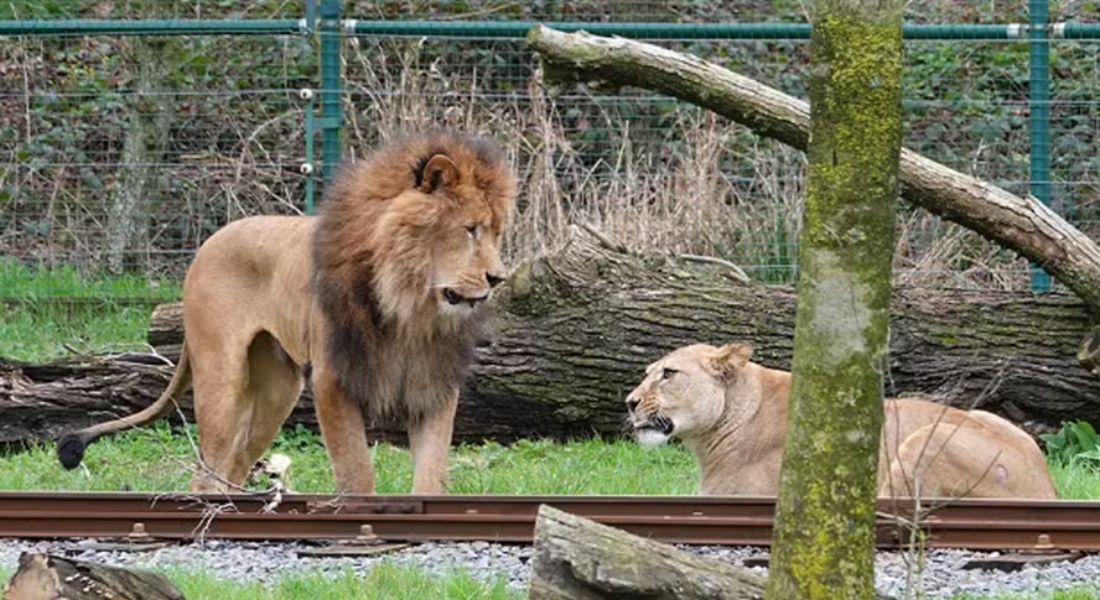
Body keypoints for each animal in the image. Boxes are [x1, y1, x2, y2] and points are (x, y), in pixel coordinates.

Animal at [59, 131, 519, 491]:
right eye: (469, 230)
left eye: (498, 232)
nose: (498, 277)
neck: (411, 308)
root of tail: (207, 244)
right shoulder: (333, 379)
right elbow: (356, 472)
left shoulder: (433, 385)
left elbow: (431, 473)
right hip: (222, 380)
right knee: (208, 470)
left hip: (277, 391)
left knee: (234, 465)